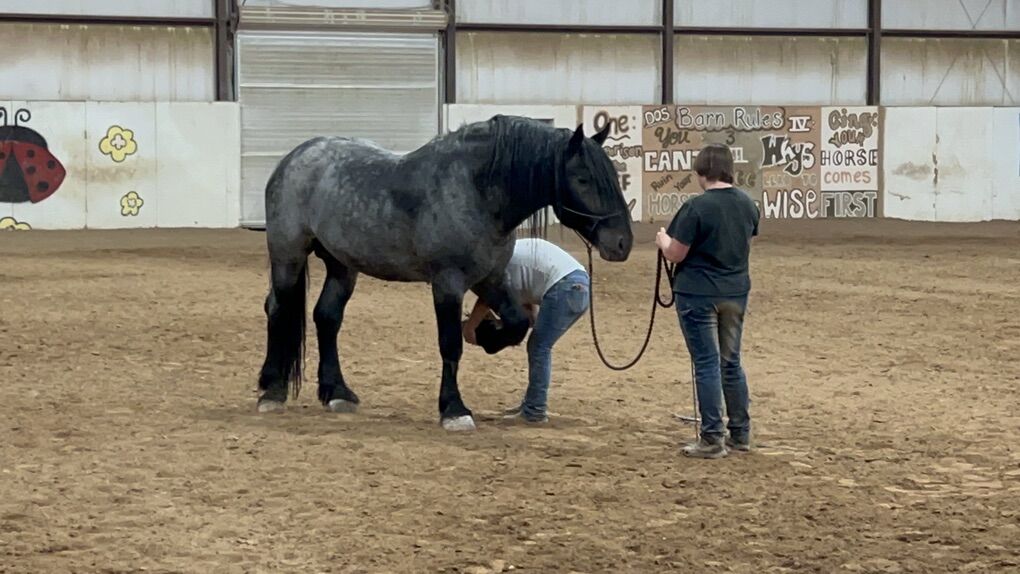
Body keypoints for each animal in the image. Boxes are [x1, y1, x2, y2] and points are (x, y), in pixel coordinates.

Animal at [256, 114, 634, 431]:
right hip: (288, 256)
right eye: (583, 179)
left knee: (327, 317)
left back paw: (336, 392)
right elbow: (451, 345)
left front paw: (490, 336)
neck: (475, 191)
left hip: (342, 265)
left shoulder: (489, 279)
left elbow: (517, 323)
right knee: (278, 309)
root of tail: (296, 157)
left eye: (614, 177)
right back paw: (271, 391)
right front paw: (454, 410)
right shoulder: (448, 283)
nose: (622, 243)